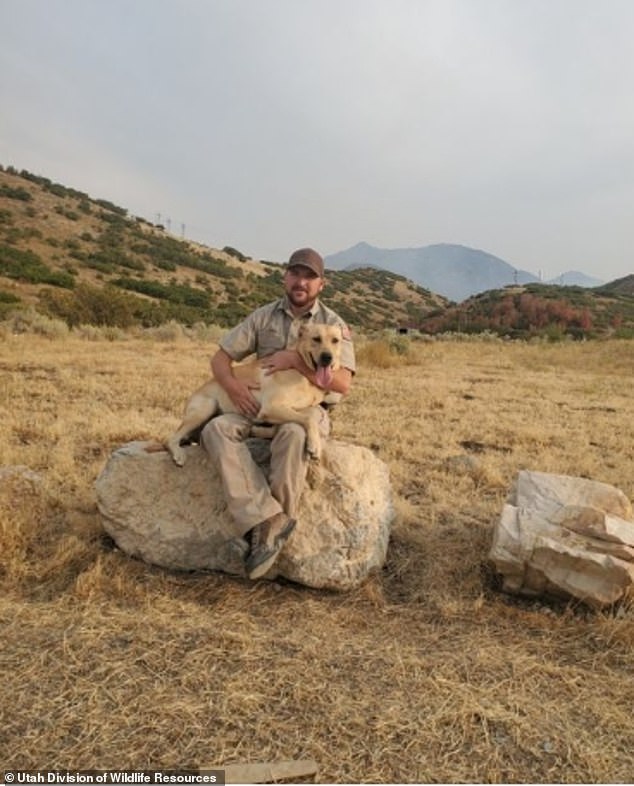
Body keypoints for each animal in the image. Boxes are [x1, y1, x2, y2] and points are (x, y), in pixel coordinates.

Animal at [164, 324, 340, 466]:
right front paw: (314, 445)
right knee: (172, 438)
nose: (327, 357)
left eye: (335, 340)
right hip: (205, 409)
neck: (303, 372)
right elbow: (308, 418)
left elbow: (305, 416)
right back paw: (178, 453)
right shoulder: (271, 407)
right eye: (316, 339)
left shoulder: (289, 409)